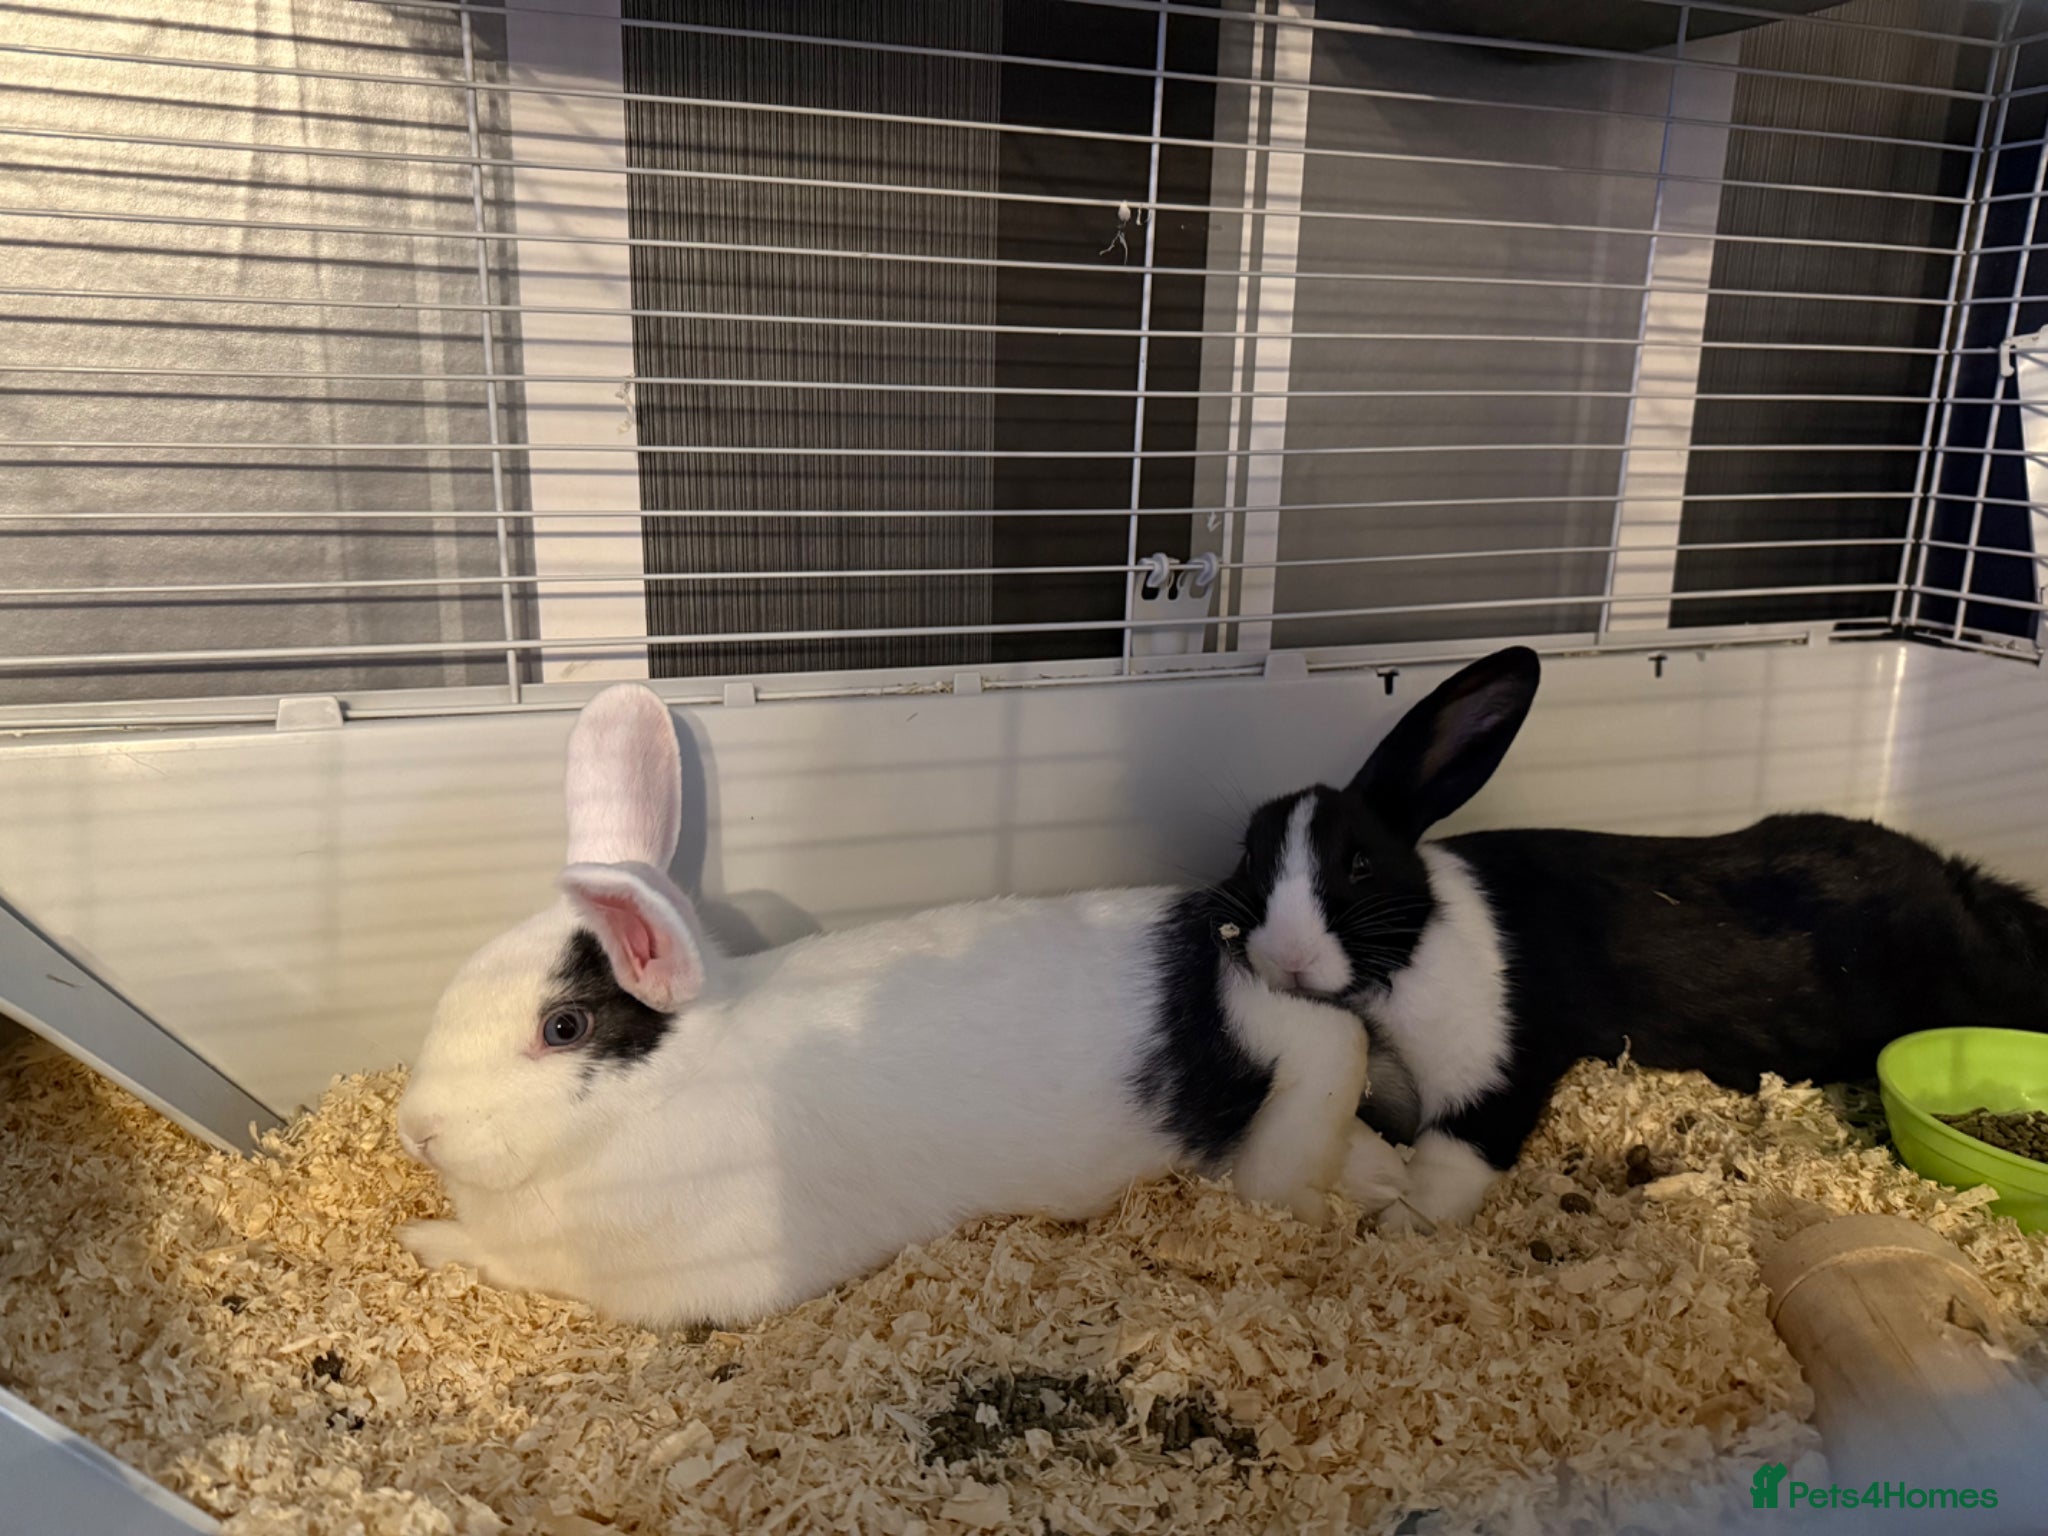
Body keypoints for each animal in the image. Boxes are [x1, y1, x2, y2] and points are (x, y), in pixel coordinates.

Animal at [395, 683, 1408, 1328]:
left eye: (562, 1028)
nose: (417, 1129)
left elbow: (498, 1259)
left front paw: (422, 1237)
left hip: (1258, 1034)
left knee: (1330, 1041)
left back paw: (1292, 1191)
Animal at [1212, 644, 2048, 1231]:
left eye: (1357, 864)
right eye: (1249, 856)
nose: (1286, 960)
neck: (1400, 964)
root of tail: (1963, 887)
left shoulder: (1497, 1070)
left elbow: (1455, 1157)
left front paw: (1401, 1223)